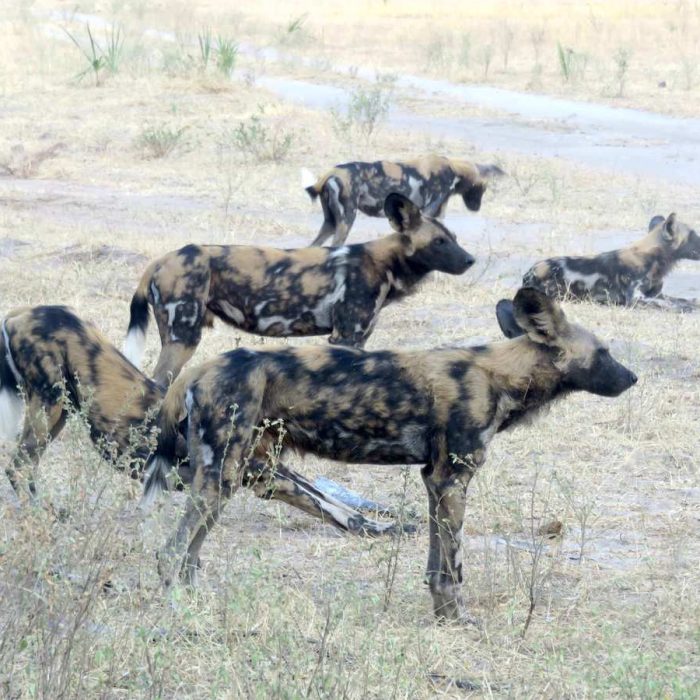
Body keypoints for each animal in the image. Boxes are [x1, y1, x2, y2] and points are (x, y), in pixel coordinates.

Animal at [0, 304, 410, 536]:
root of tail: (19, 313)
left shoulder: (277, 471)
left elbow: (336, 502)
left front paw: (387, 525)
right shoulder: (267, 479)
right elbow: (331, 509)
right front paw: (373, 530)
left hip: (61, 412)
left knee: (24, 465)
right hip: (49, 405)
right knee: (19, 465)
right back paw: (44, 513)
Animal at [124, 194, 476, 386]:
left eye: (455, 238)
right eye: (439, 242)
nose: (470, 260)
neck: (386, 264)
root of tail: (160, 261)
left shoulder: (358, 340)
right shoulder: (346, 338)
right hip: (183, 339)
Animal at [145, 290, 636, 624]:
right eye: (605, 351)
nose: (632, 378)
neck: (500, 375)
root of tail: (198, 369)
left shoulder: (434, 480)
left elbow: (436, 562)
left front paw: (441, 617)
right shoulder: (452, 481)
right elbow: (452, 568)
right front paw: (457, 620)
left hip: (233, 475)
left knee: (190, 554)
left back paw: (195, 600)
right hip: (223, 475)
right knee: (171, 552)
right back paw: (176, 608)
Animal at [524, 215, 696, 310]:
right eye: (694, 235)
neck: (653, 259)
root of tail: (529, 273)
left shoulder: (657, 294)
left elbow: (680, 300)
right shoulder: (635, 299)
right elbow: (670, 304)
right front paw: (683, 307)